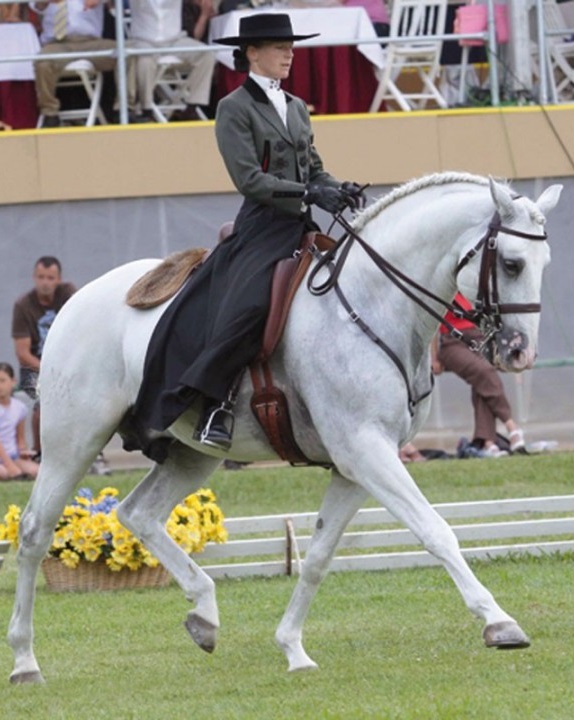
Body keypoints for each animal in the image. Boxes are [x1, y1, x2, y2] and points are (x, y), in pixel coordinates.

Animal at [7, 172, 564, 684]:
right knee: (35, 532)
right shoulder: (366, 450)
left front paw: (293, 648)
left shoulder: (354, 466)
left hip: (191, 454)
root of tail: (75, 301)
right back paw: (25, 661)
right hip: (73, 441)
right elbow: (436, 530)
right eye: (511, 263)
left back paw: (204, 613)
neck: (371, 305)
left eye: (544, 264)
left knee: (137, 513)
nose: (520, 353)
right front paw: (499, 622)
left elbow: (317, 556)